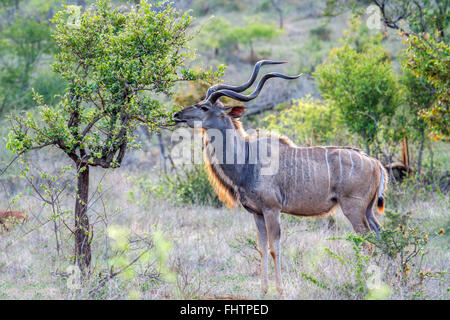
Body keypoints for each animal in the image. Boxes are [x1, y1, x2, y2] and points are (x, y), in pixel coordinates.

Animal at [172, 60, 386, 296]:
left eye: (205, 107)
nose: (177, 115)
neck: (247, 160)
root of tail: (375, 163)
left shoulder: (272, 209)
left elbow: (275, 248)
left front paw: (281, 290)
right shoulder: (256, 213)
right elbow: (262, 248)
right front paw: (263, 290)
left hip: (353, 209)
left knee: (367, 242)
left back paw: (367, 284)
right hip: (367, 210)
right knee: (380, 235)